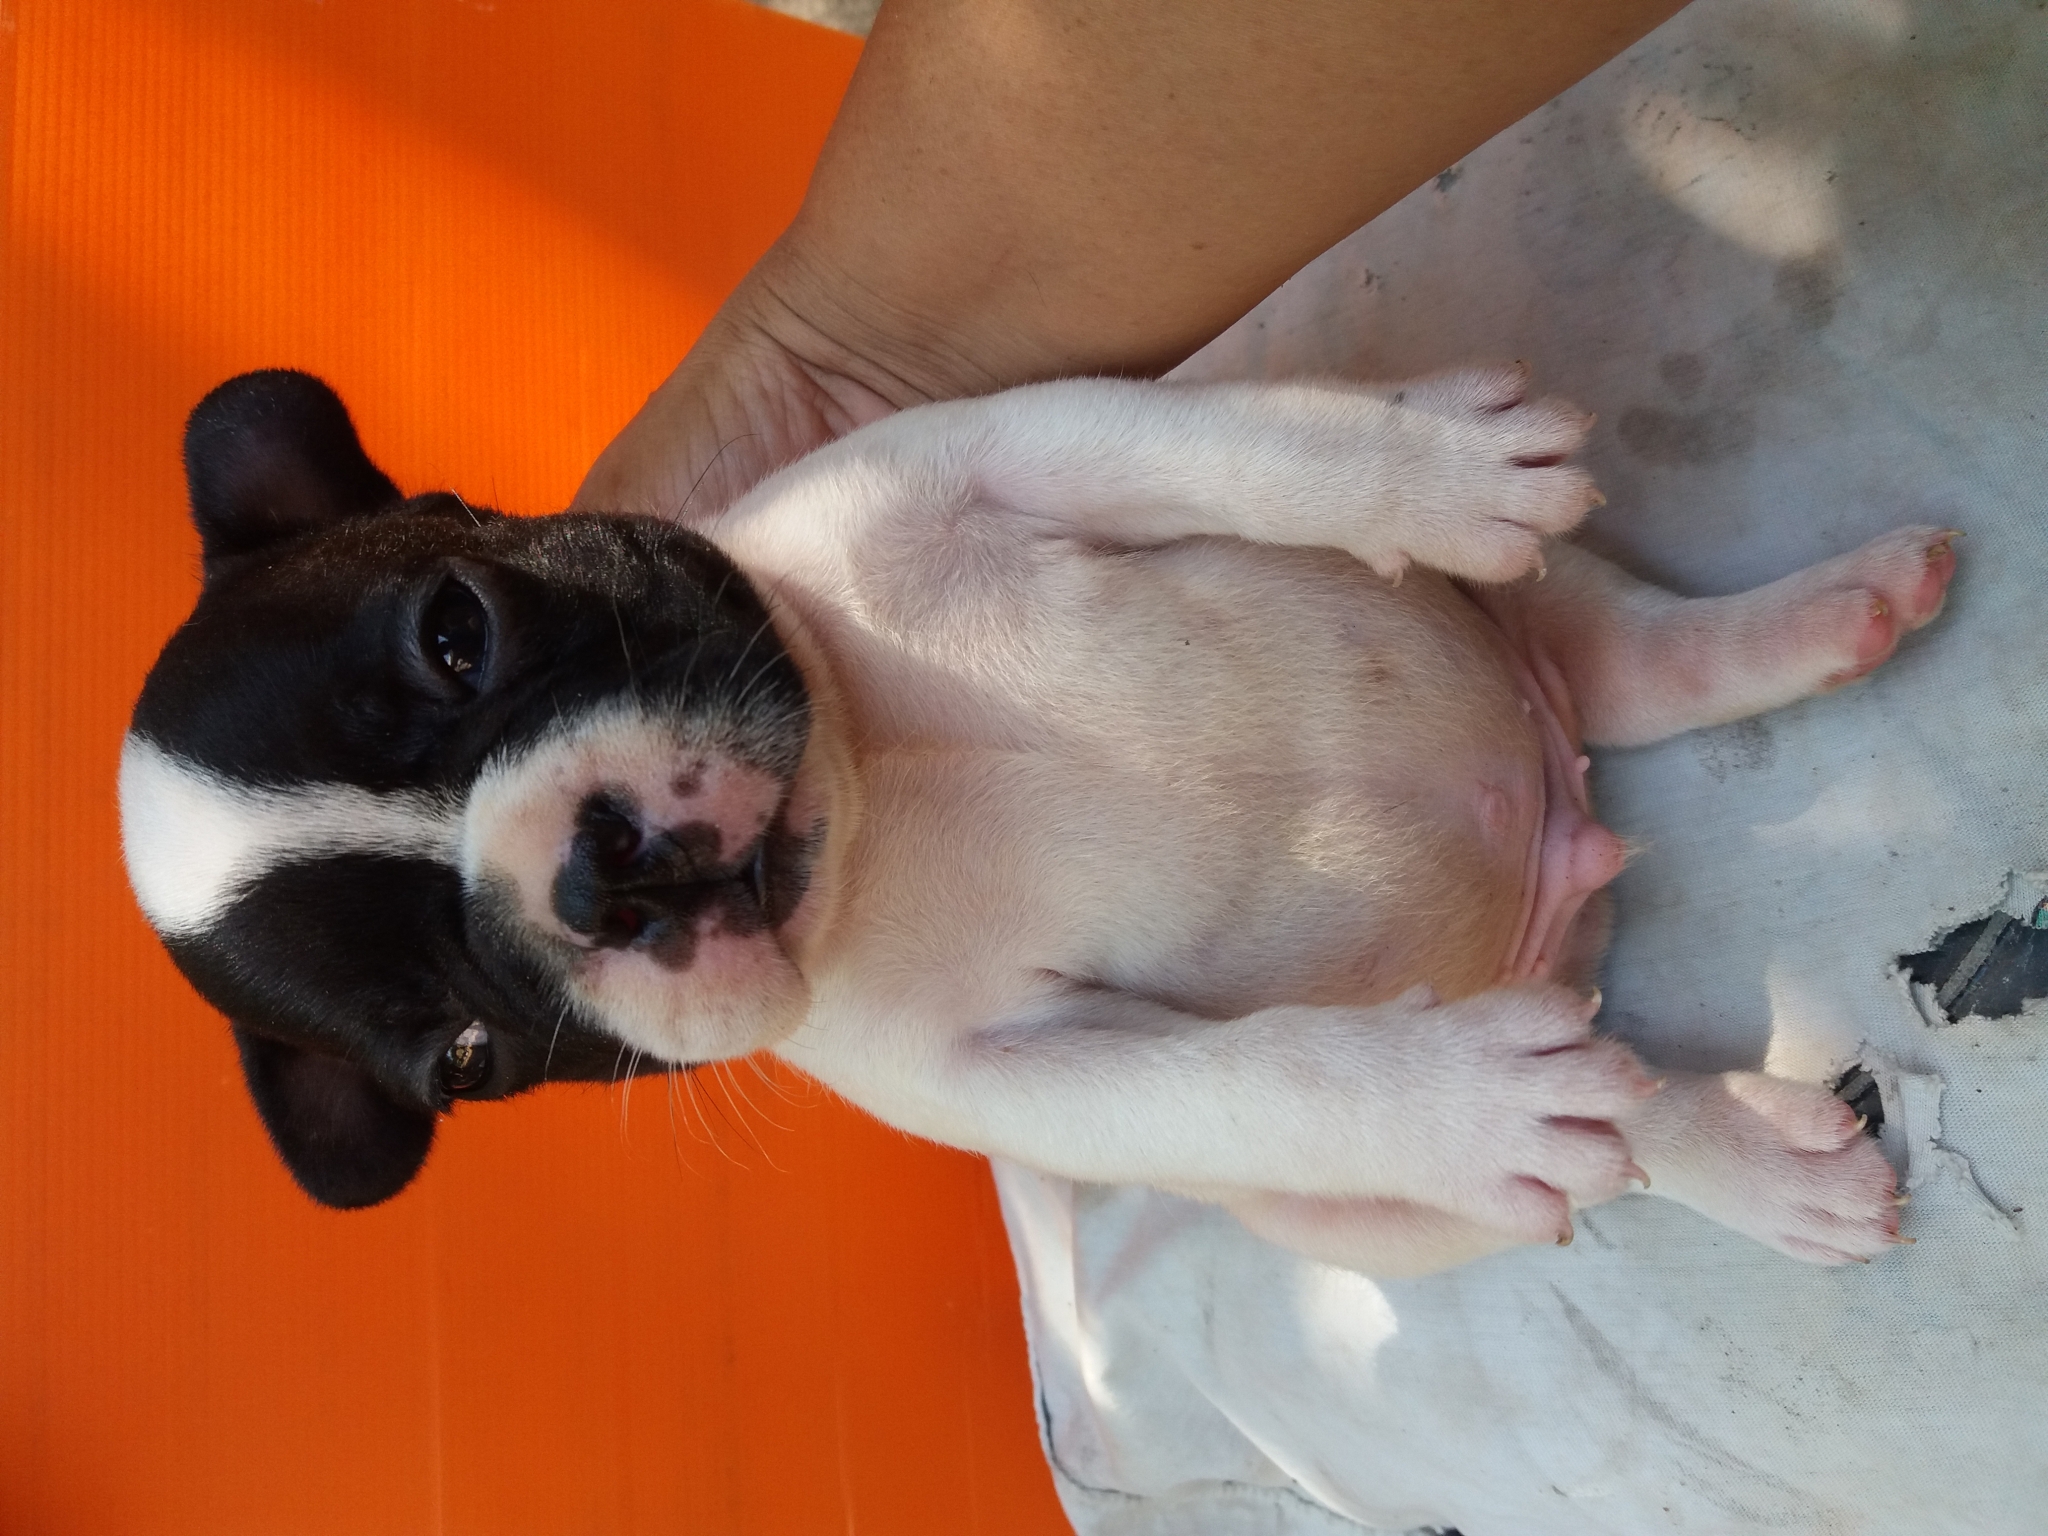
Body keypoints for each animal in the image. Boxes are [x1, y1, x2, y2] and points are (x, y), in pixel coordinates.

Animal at [120, 366, 1948, 1274]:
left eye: (456, 632)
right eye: (465, 1053)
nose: (591, 874)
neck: (877, 781)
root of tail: (1563, 839)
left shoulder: (994, 453)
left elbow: (1218, 440)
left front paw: (1420, 460)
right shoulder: (1012, 1076)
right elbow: (1257, 1084)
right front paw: (1448, 1101)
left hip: (1509, 602)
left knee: (1631, 654)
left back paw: (1829, 609)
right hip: (1375, 1206)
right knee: (1612, 1103)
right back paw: (1741, 1160)